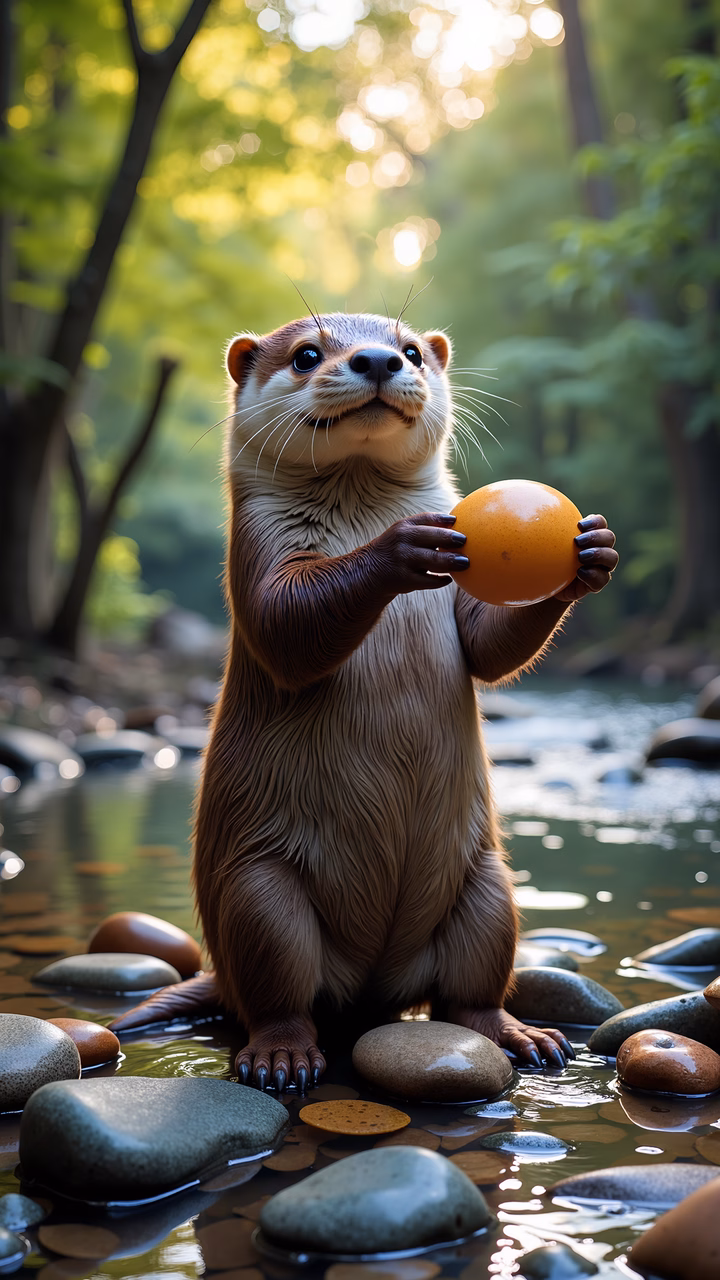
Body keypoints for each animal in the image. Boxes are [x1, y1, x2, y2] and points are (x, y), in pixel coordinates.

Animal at [112, 311, 618, 1092]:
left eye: (411, 350)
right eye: (307, 354)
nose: (379, 360)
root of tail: (372, 987)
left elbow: (490, 651)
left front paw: (588, 555)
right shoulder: (257, 553)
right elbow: (285, 627)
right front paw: (401, 547)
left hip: (487, 887)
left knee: (468, 992)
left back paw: (520, 1035)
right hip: (258, 895)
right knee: (277, 996)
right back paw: (282, 1056)